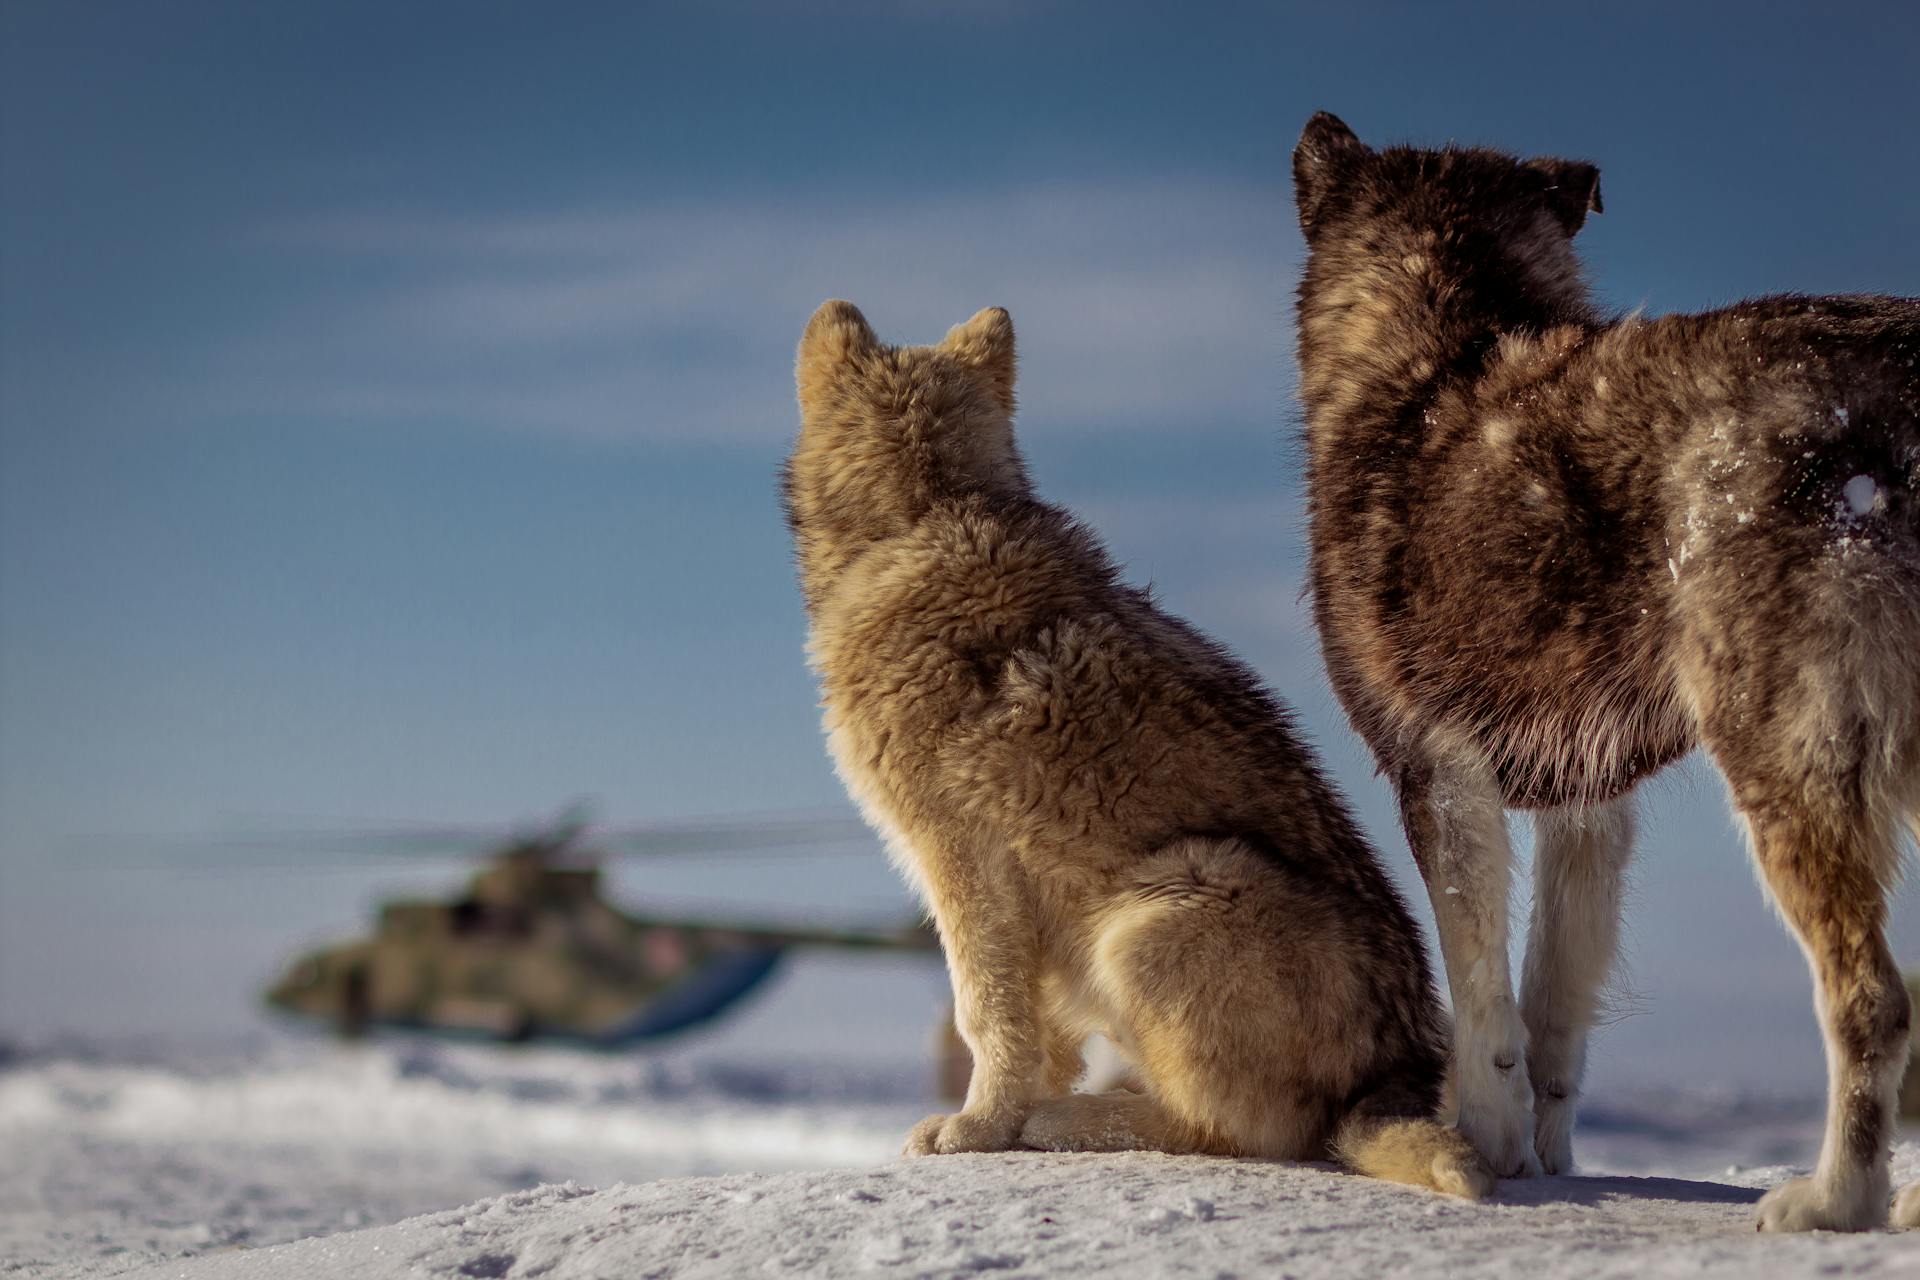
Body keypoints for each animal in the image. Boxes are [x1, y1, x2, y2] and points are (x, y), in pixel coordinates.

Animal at [783, 301, 1497, 1205]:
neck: (927, 515)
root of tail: (1400, 1067)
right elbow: (1036, 1037)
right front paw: (1004, 1122)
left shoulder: (963, 863)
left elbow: (985, 1015)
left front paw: (976, 1131)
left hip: (1161, 906)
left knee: (1243, 1134)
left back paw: (1071, 1123)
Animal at [1290, 112, 1920, 1228]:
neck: (1438, 355)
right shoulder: (1588, 803)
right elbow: (1551, 1008)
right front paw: (1545, 1156)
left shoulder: (1436, 771)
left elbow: (1483, 1002)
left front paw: (1487, 1147)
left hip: (1786, 754)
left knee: (1872, 1000)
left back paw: (1832, 1199)